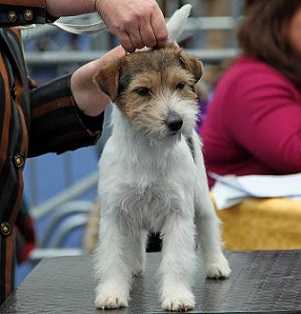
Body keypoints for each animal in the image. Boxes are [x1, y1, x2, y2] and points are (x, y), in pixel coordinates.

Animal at [92, 42, 231, 312]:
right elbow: (114, 257)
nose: (176, 122)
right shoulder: (115, 214)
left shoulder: (178, 214)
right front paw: (112, 292)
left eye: (180, 85)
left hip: (200, 197)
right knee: (135, 239)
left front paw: (177, 296)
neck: (148, 148)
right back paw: (134, 265)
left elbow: (176, 261)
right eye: (142, 91)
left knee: (209, 225)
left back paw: (216, 264)